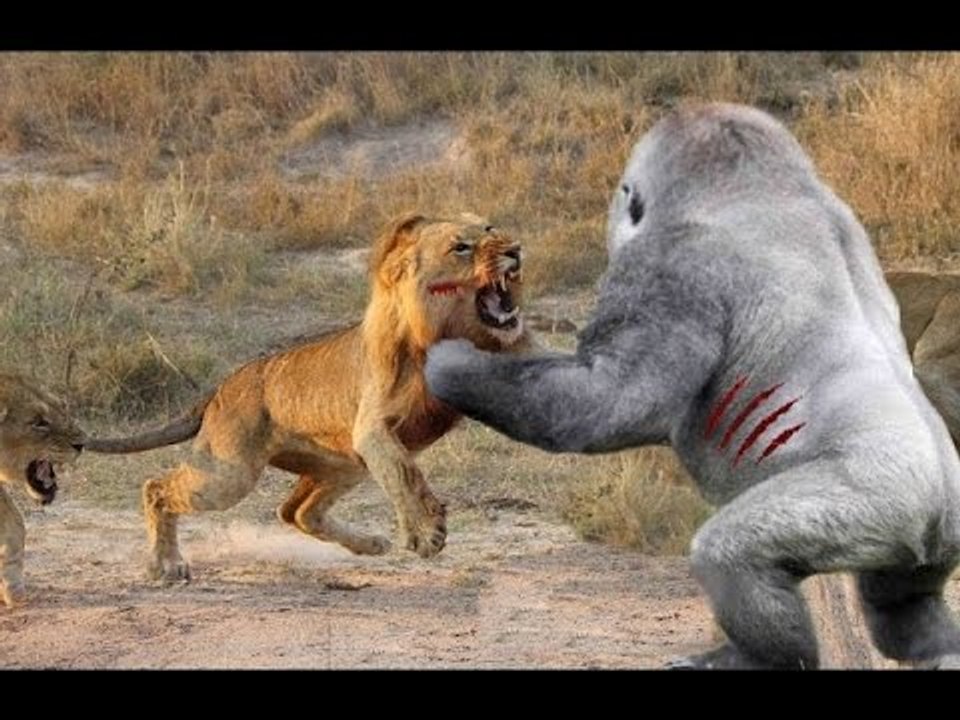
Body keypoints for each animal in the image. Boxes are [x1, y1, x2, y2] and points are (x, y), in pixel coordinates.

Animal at [84, 212, 531, 582]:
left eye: (490, 228)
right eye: (461, 247)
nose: (515, 250)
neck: (442, 331)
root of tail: (223, 387)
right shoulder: (372, 429)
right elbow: (404, 474)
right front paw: (425, 533)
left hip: (344, 464)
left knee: (296, 511)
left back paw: (371, 543)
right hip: (229, 475)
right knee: (156, 488)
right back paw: (166, 564)